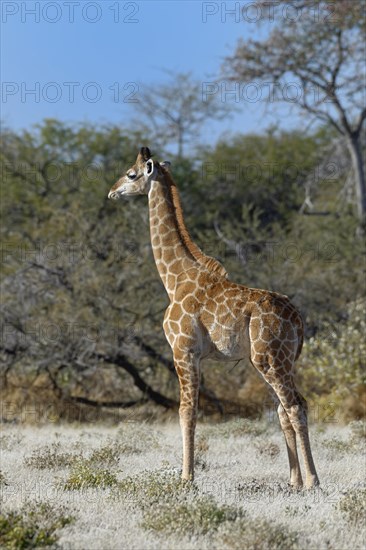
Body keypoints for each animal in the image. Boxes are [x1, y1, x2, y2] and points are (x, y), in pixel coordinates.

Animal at [107, 148, 318, 492]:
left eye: (131, 174)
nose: (112, 192)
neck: (174, 278)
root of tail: (298, 320)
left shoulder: (183, 350)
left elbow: (187, 410)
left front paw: (186, 478)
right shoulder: (194, 355)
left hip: (271, 358)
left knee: (296, 405)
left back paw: (313, 480)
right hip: (274, 361)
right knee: (284, 409)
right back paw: (294, 481)